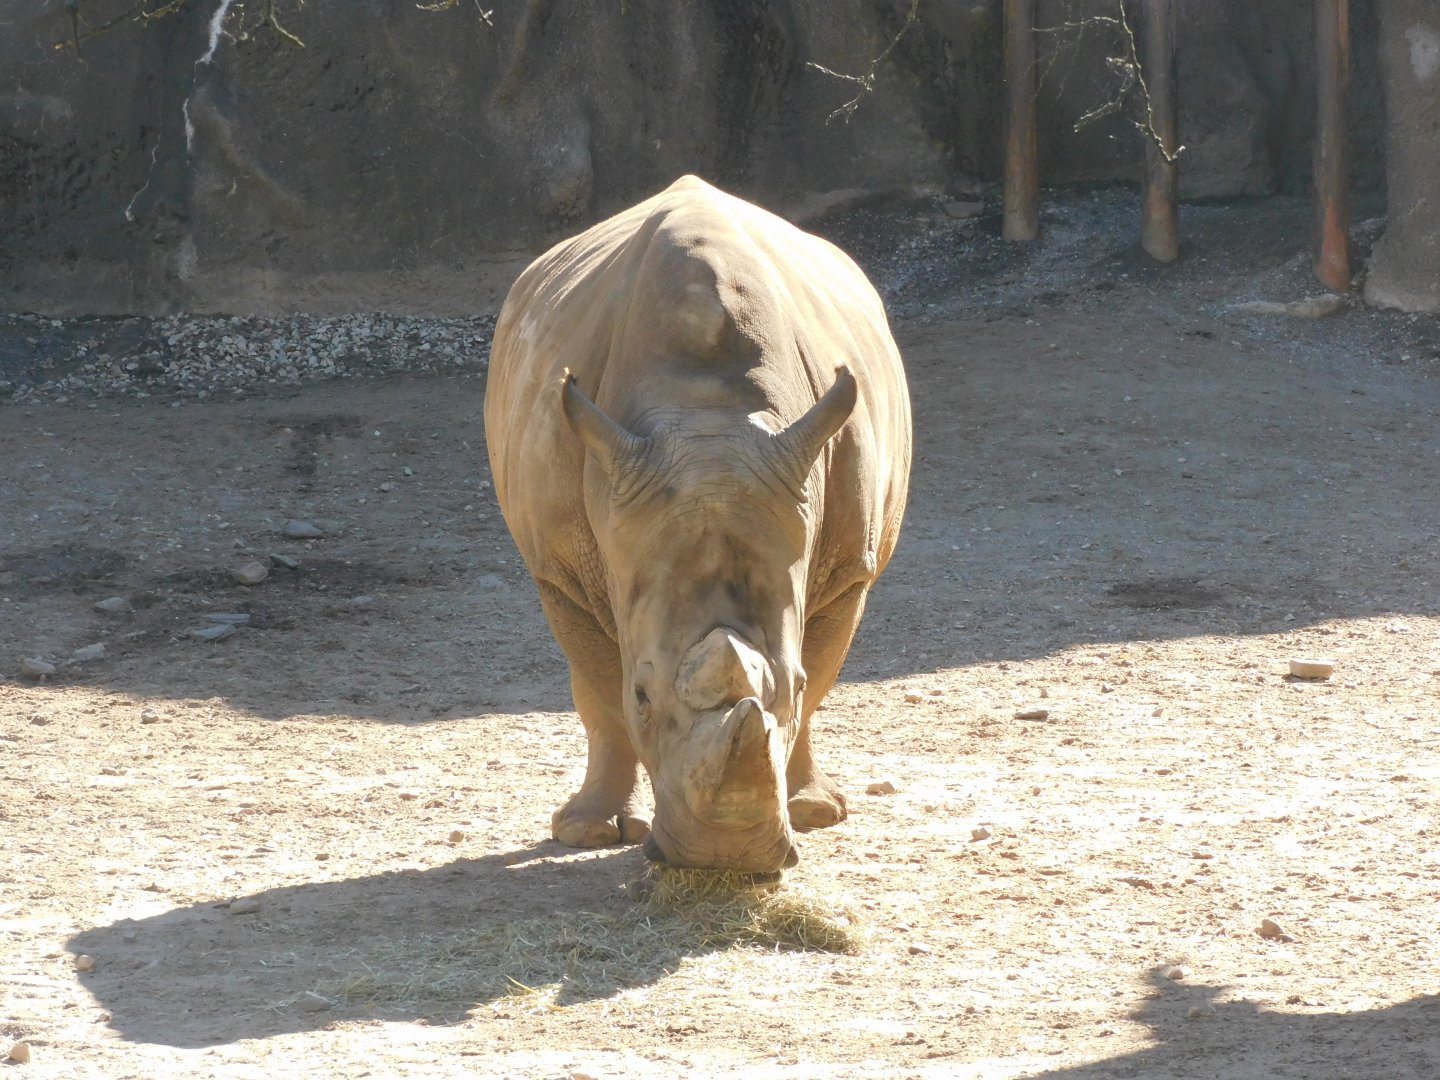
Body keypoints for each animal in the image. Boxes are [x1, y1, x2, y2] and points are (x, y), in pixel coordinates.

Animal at [484, 175, 911, 873]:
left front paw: (815, 815)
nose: (722, 858)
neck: (708, 419)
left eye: (789, 687)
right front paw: (586, 833)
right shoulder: (560, 570)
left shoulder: (852, 566)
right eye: (643, 696)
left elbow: (819, 679)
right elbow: (600, 696)